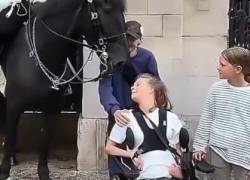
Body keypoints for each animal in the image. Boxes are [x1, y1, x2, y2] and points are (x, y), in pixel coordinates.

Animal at [0, 0, 128, 179]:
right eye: (106, 10)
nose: (122, 60)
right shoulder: (13, 106)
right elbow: (10, 138)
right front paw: (5, 168)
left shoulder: (52, 110)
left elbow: (44, 143)